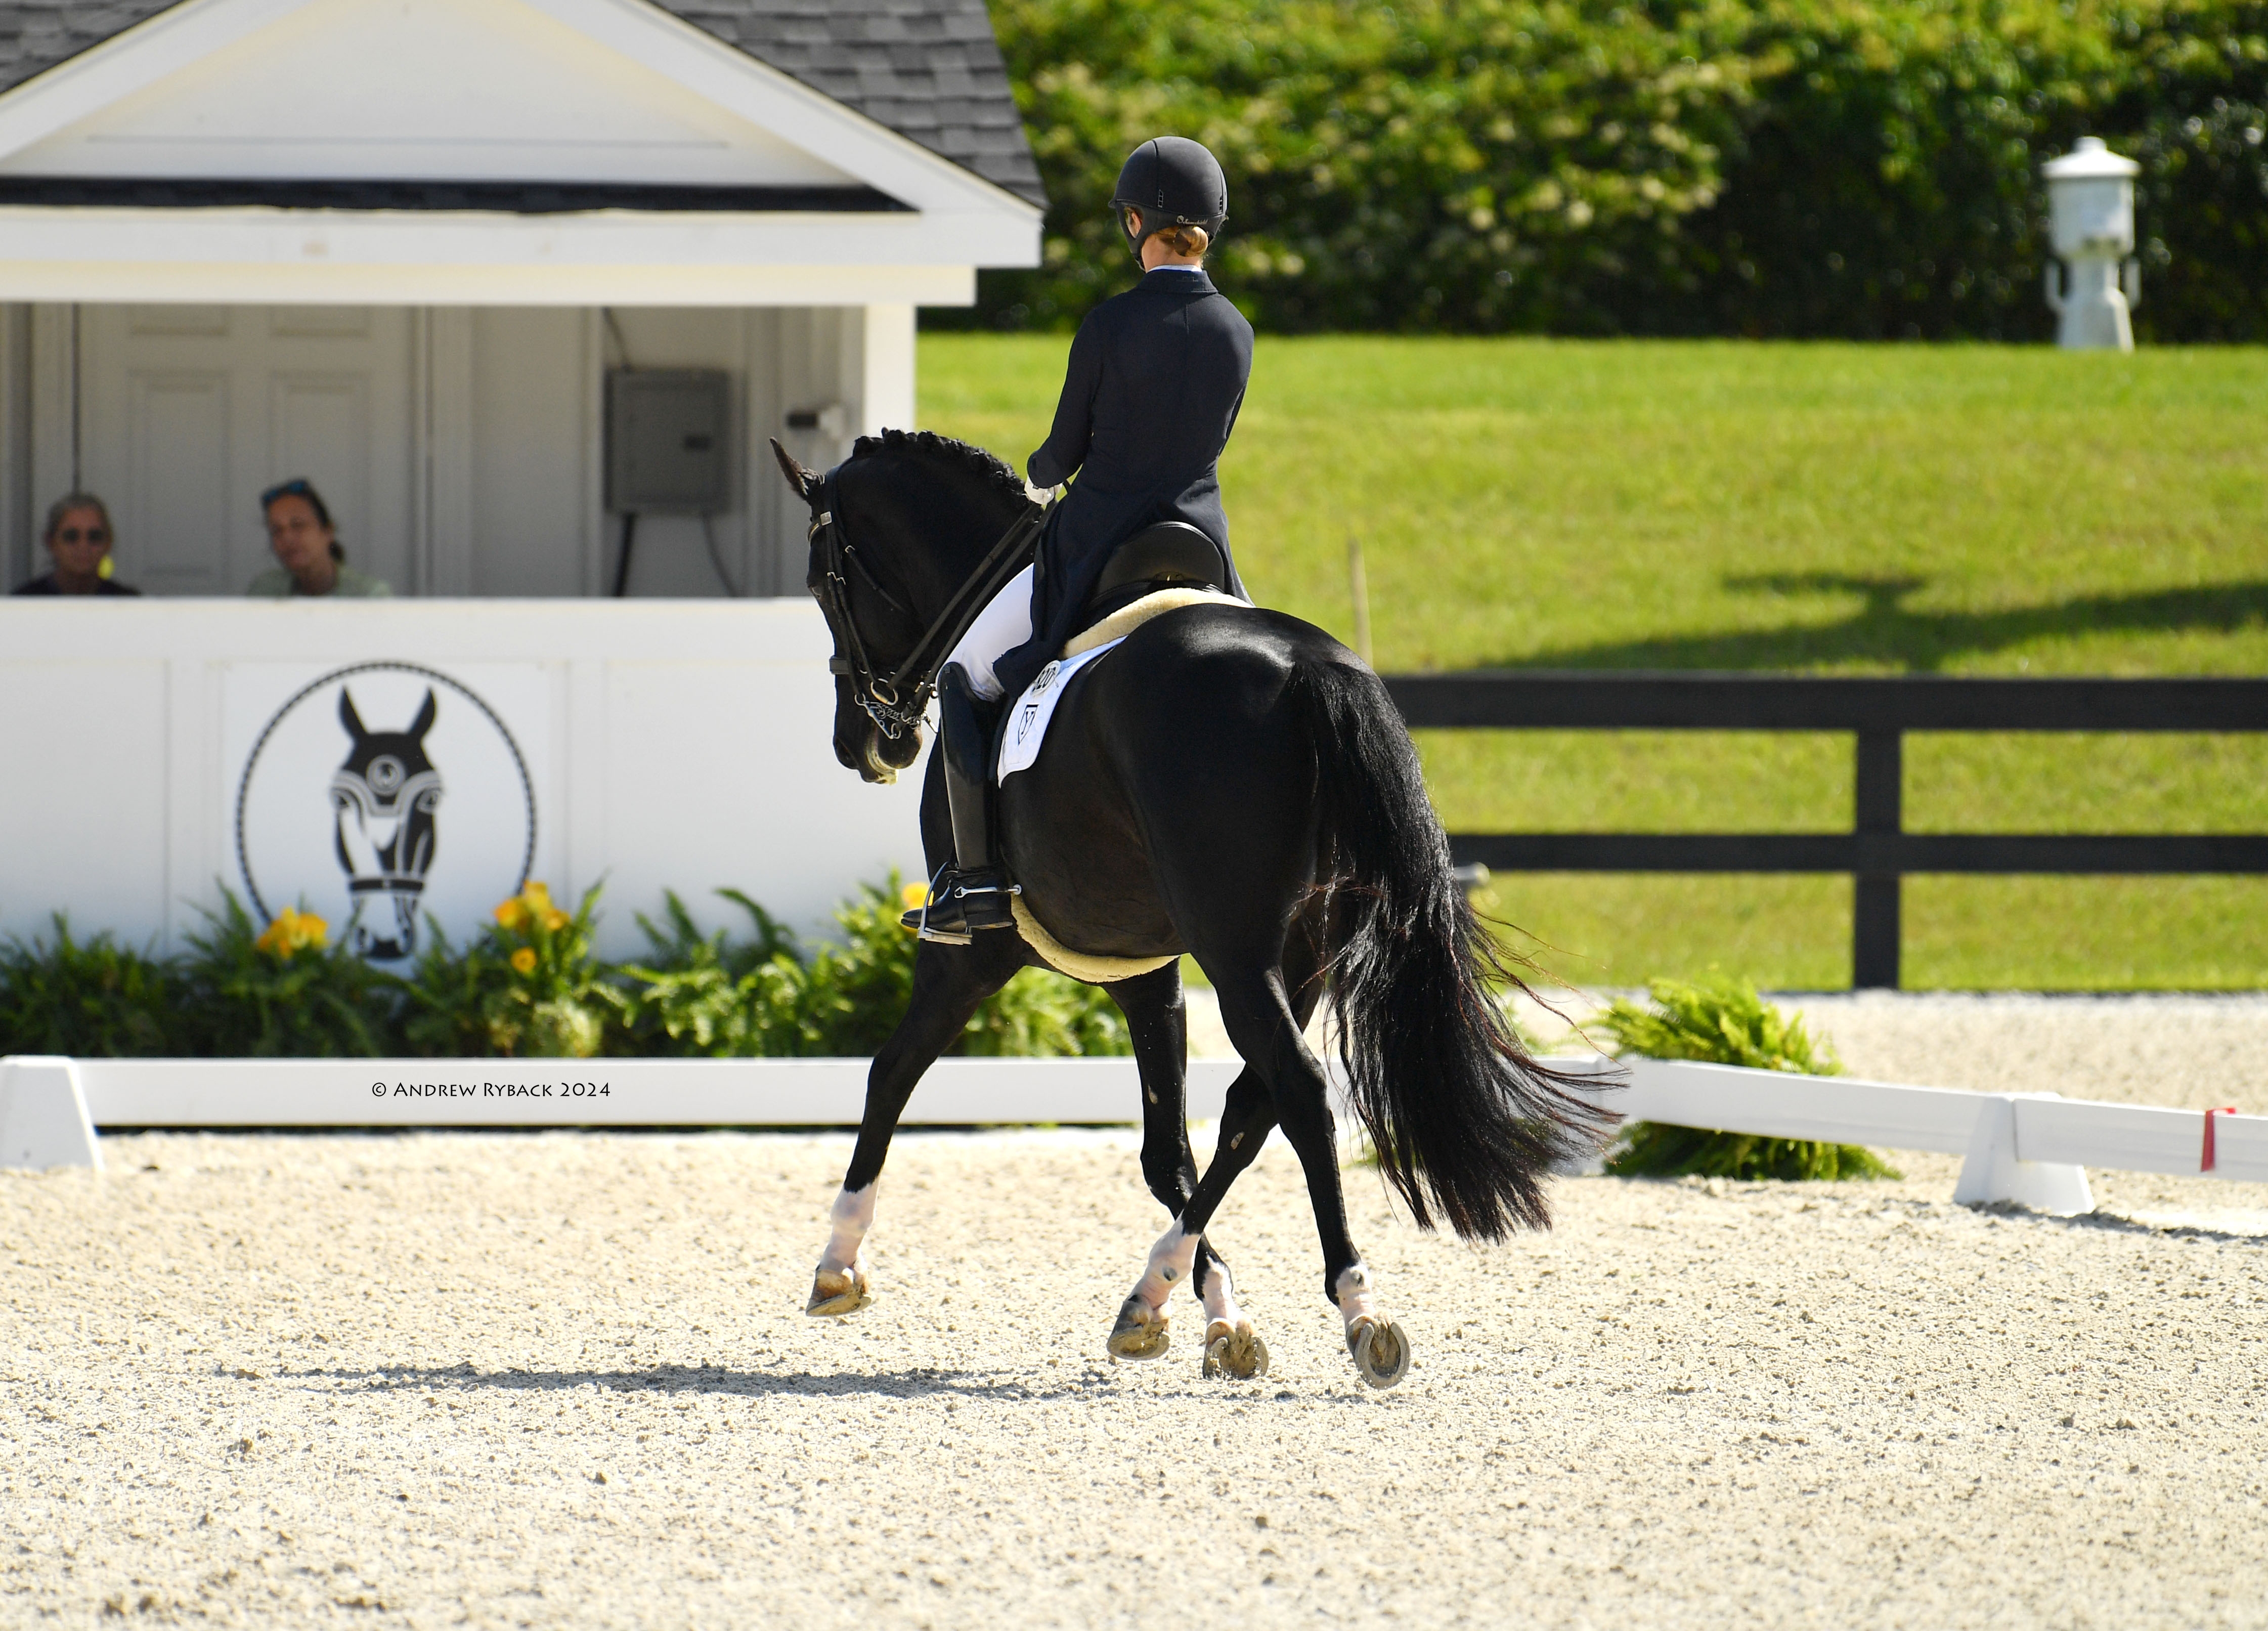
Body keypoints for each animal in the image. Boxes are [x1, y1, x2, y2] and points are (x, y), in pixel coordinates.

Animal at [771, 426, 1605, 1388]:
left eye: (818, 579)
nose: (867, 745)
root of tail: (1305, 667)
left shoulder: (972, 954)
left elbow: (889, 1073)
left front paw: (837, 1264)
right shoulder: (1148, 971)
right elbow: (1166, 1148)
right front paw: (1216, 1318)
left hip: (1234, 948)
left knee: (1296, 1086)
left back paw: (1358, 1309)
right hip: (1300, 951)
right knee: (1254, 1104)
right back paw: (1158, 1291)